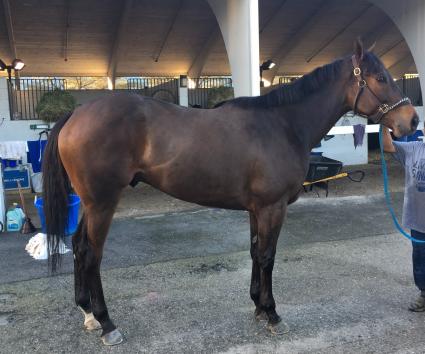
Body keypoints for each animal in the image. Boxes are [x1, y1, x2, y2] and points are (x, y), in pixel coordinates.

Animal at [42, 39, 418, 346]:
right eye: (379, 78)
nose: (411, 121)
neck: (283, 124)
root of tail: (77, 112)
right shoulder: (272, 207)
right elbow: (267, 257)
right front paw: (273, 314)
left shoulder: (256, 209)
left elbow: (255, 252)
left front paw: (258, 307)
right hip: (102, 203)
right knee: (92, 255)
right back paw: (107, 324)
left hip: (91, 203)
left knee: (78, 247)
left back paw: (88, 314)